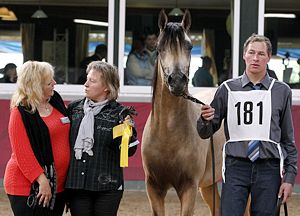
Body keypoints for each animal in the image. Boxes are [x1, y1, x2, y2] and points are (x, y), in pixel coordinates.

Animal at [142, 9, 225, 215]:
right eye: (159, 47)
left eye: (189, 46)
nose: (178, 80)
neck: (168, 134)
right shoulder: (154, 188)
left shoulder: (189, 187)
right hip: (208, 184)